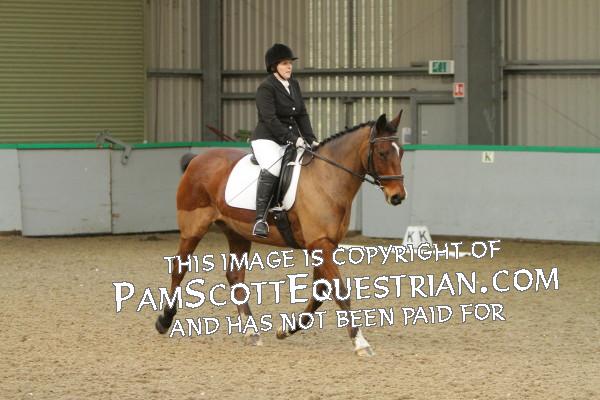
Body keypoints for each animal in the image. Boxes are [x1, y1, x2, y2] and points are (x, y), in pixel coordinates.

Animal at [155, 110, 407, 356]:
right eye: (382, 153)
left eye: (401, 153)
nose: (398, 197)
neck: (327, 178)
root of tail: (197, 159)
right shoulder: (320, 244)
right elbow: (340, 291)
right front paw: (360, 342)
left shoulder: (326, 245)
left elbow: (320, 291)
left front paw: (286, 330)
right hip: (193, 228)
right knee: (179, 268)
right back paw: (164, 320)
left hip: (238, 233)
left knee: (235, 277)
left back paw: (252, 332)